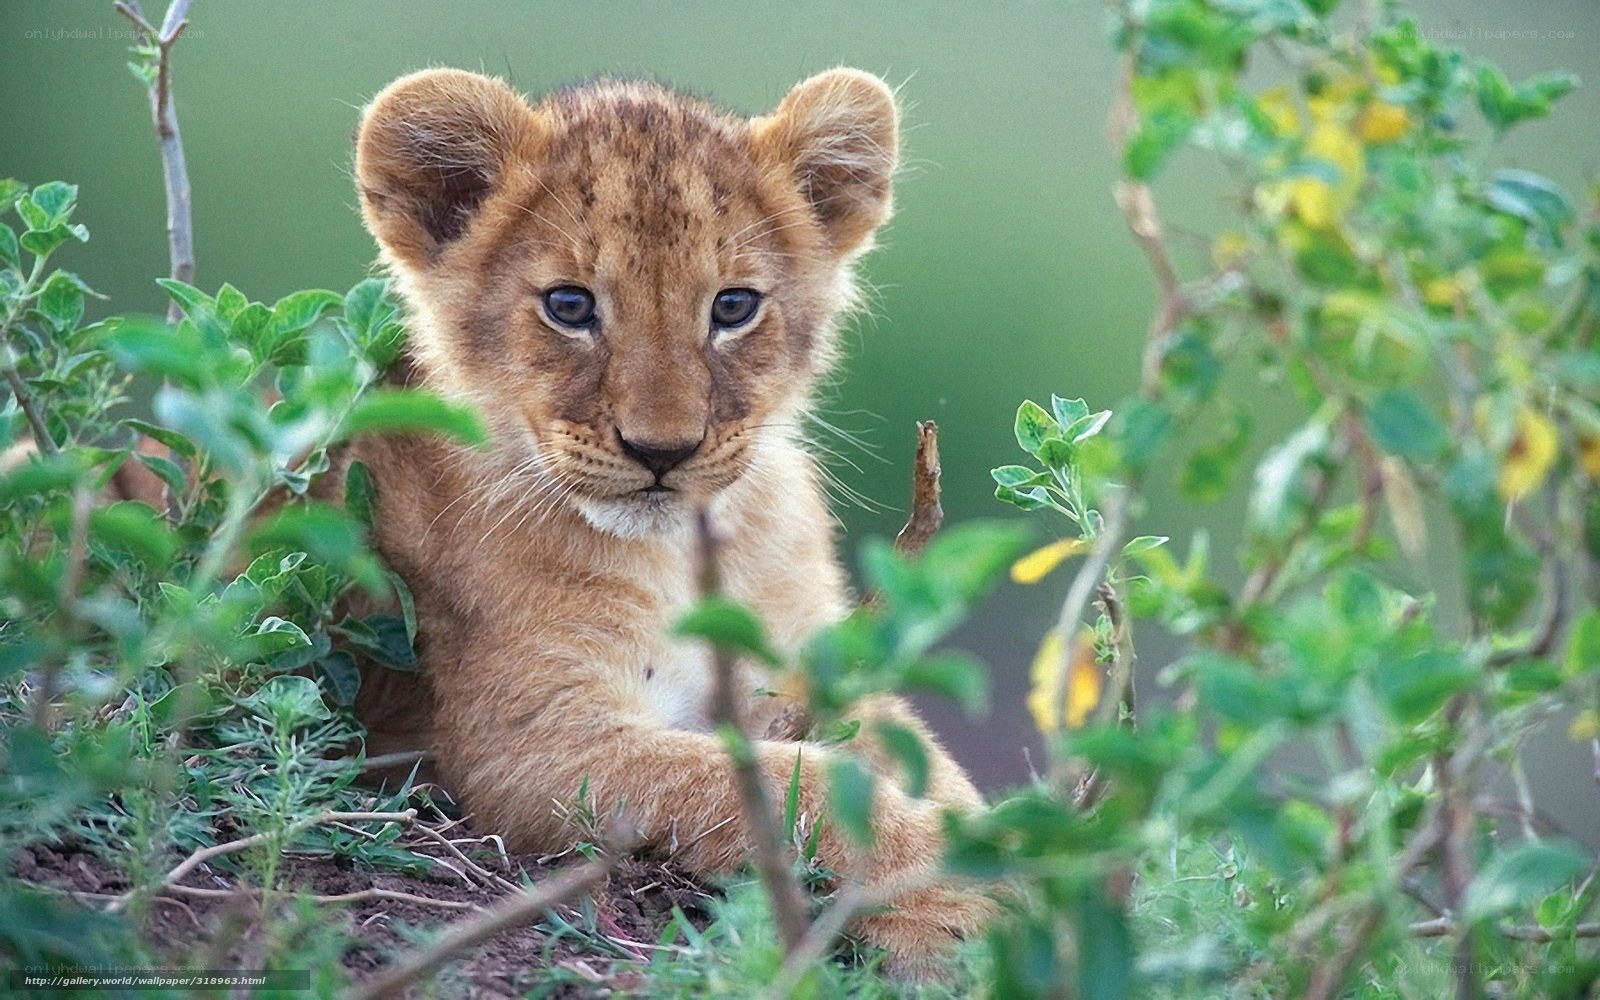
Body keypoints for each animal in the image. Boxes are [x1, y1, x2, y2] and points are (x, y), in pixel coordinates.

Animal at [350, 66, 994, 974]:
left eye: (733, 306)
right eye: (569, 305)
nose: (664, 449)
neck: (683, 554)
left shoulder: (799, 667)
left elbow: (914, 753)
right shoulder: (527, 749)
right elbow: (781, 785)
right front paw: (967, 891)